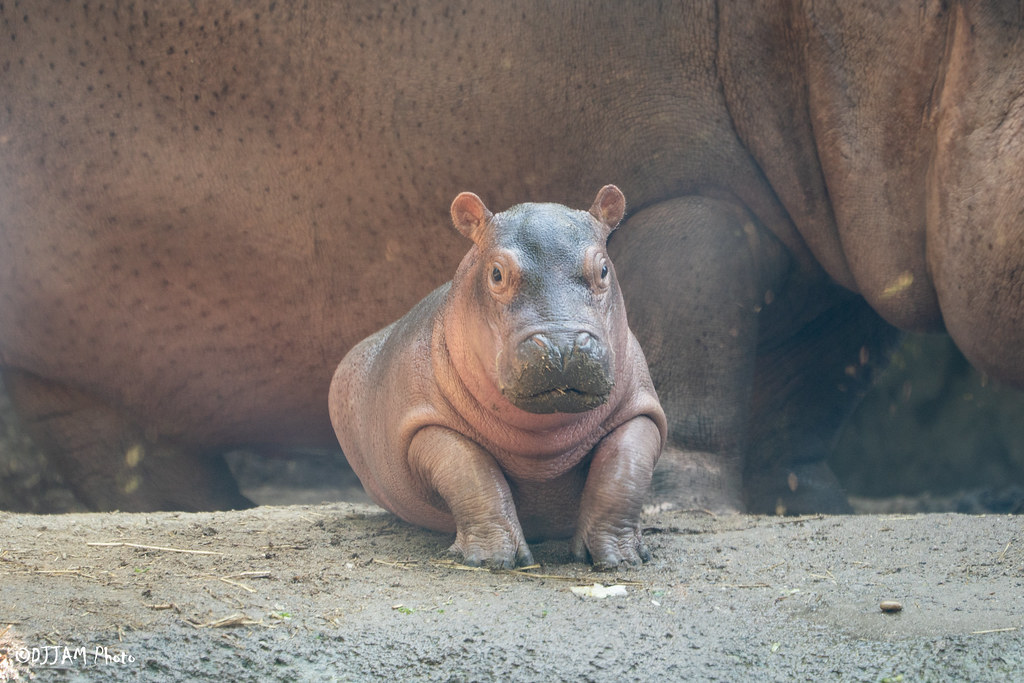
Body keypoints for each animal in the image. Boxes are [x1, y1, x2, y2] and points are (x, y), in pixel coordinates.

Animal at [0, 2, 1022, 513]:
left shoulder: (836, 275)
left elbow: (813, 389)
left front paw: (814, 508)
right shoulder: (697, 199)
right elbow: (698, 361)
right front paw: (694, 499)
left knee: (116, 443)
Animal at [329, 186, 666, 568]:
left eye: (605, 268)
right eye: (496, 274)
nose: (563, 345)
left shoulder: (640, 411)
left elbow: (622, 471)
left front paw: (620, 559)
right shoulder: (426, 424)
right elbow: (472, 474)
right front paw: (490, 560)